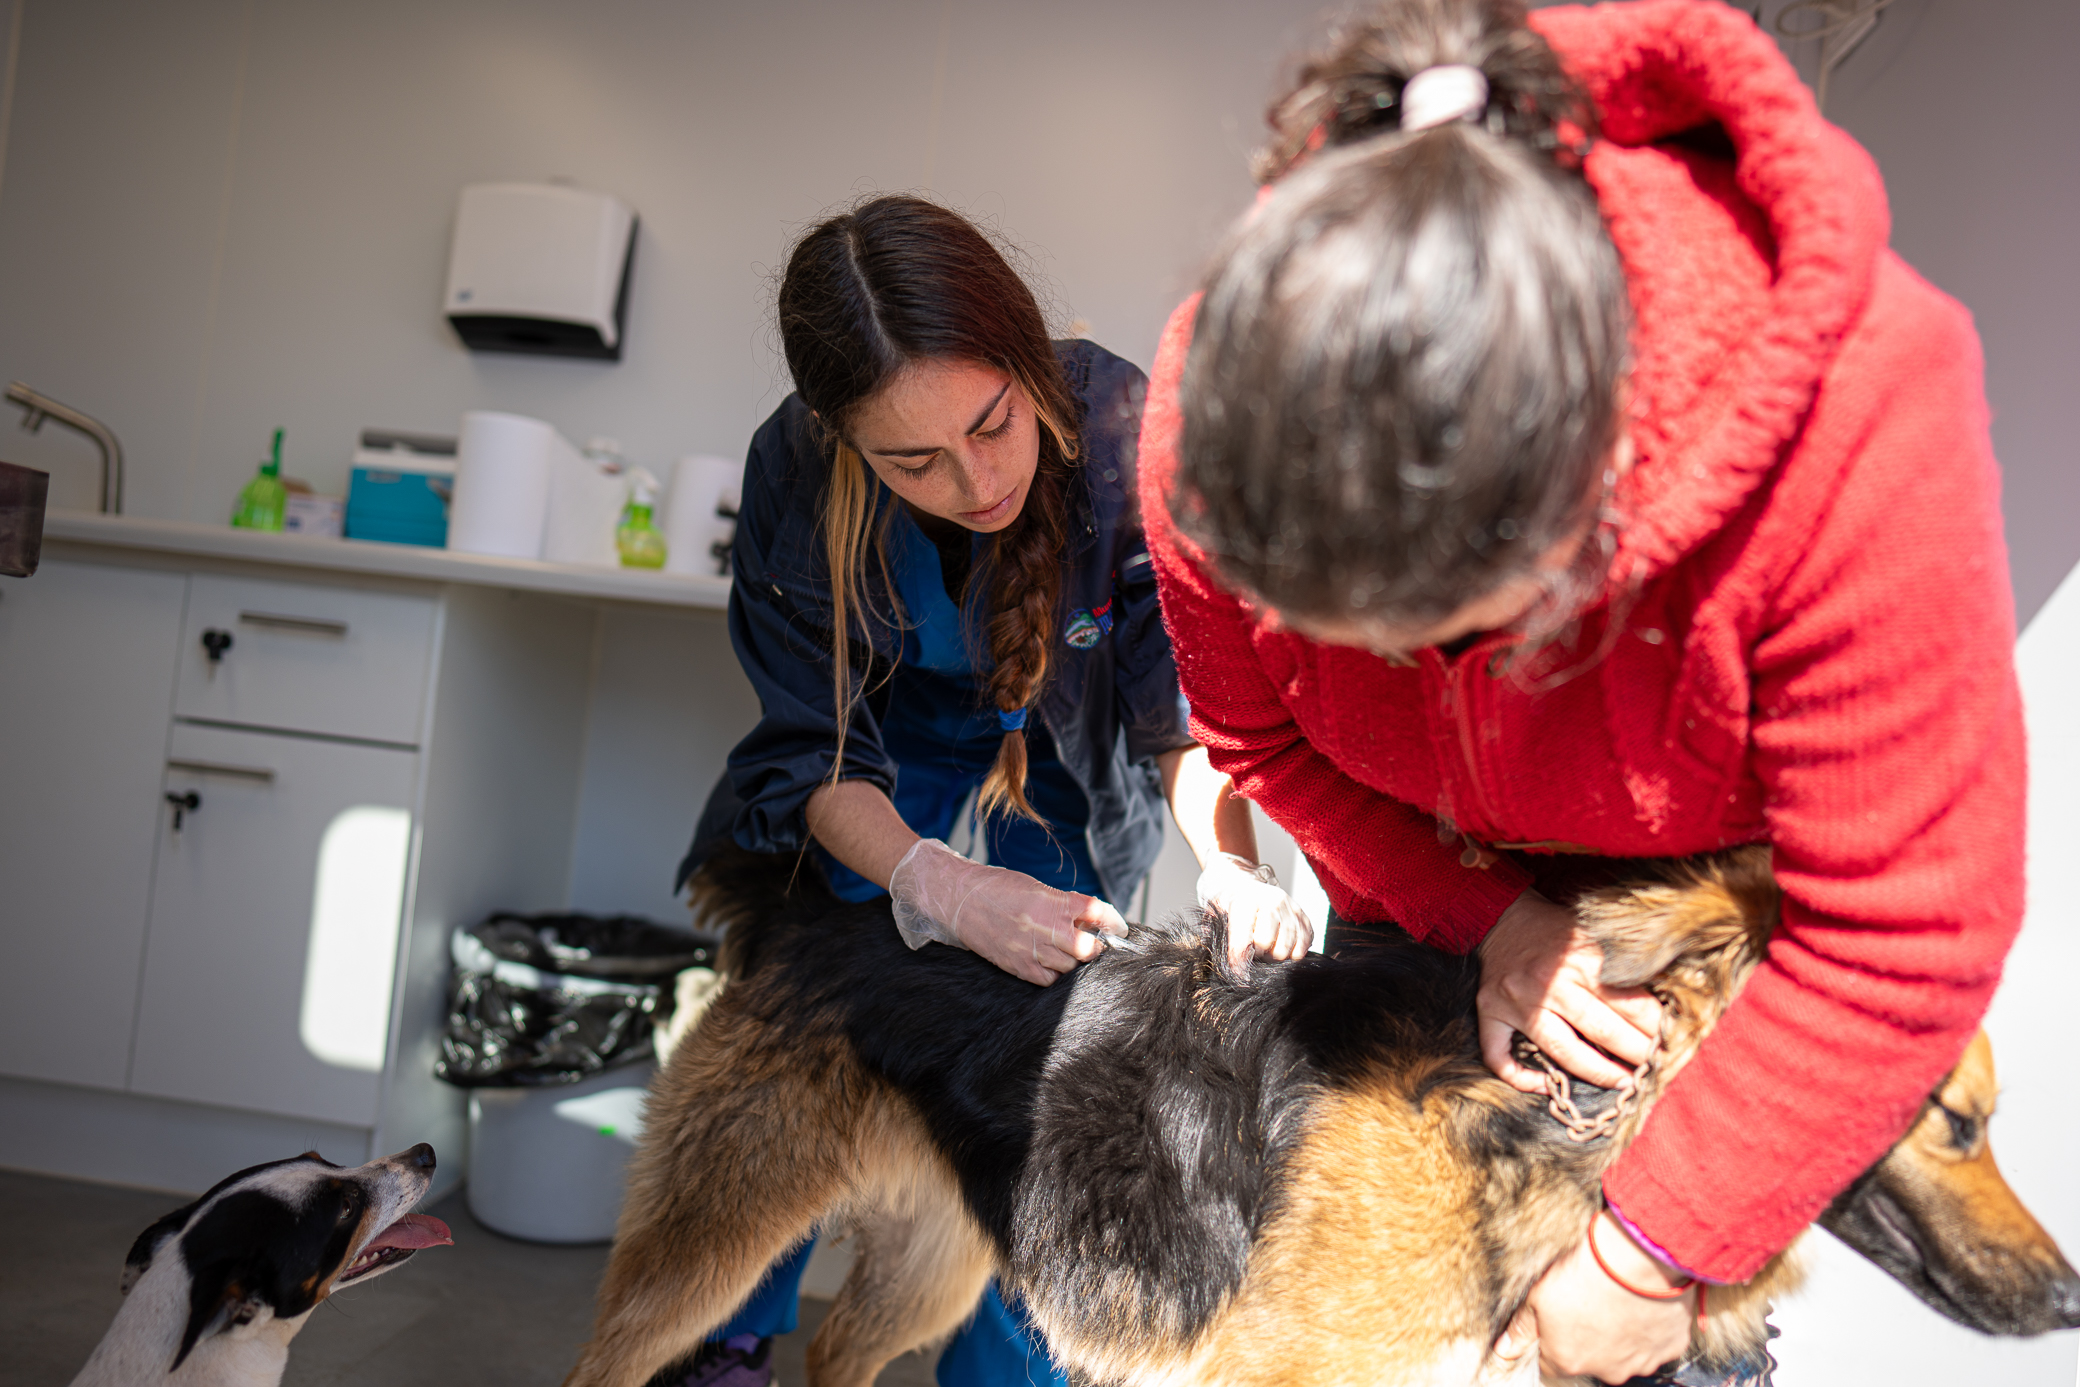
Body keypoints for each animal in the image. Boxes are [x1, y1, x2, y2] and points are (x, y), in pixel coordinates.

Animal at [565, 848, 2080, 1387]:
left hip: (940, 1258)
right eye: (1959, 1122)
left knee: (833, 1343)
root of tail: (808, 904)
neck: (1573, 1116)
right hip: (701, 1251)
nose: (2071, 1298)